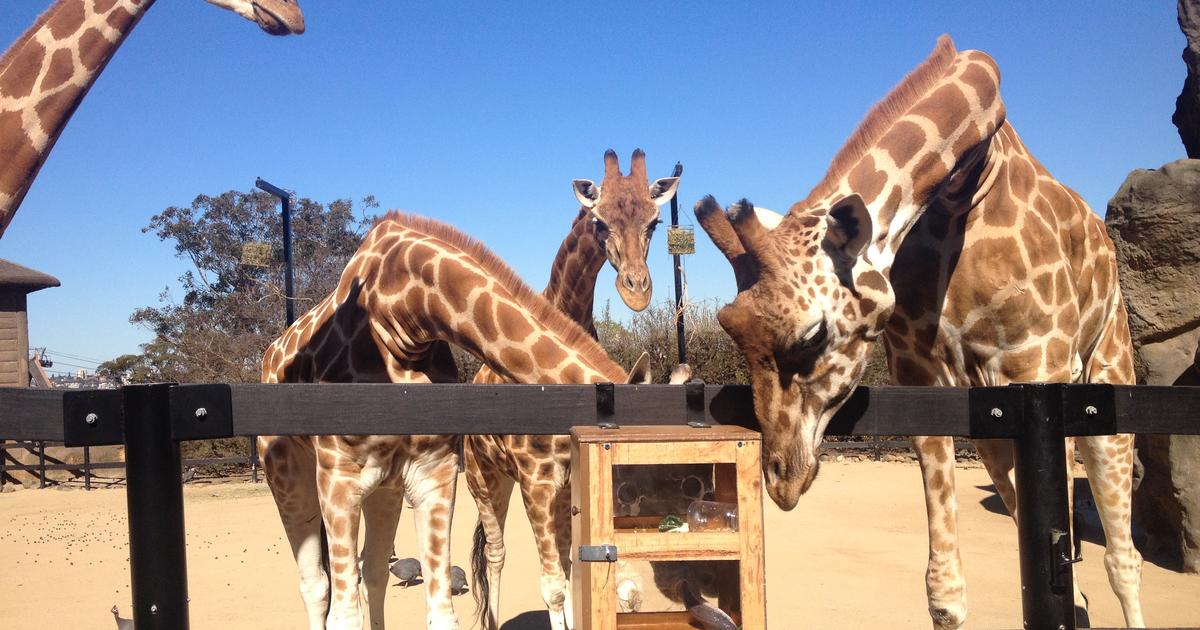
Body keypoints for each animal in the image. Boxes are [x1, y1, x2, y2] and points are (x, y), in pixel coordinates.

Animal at [260, 212, 657, 628]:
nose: (638, 289)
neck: (405, 316)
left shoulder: (433, 473)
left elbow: (441, 613)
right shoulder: (340, 479)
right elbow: (344, 615)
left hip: (386, 489)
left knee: (373, 573)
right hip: (291, 478)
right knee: (317, 585)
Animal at [460, 148, 681, 628]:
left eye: (655, 222)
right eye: (598, 222)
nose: (636, 291)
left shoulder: (567, 478)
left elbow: (572, 571)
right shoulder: (534, 477)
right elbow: (553, 585)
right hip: (484, 478)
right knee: (496, 555)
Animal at [696, 35, 1142, 628]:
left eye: (812, 336)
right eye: (729, 326)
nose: (782, 481)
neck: (960, 194)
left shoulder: (1041, 365)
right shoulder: (924, 376)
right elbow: (947, 592)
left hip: (1107, 377)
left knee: (1123, 558)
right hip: (994, 427)